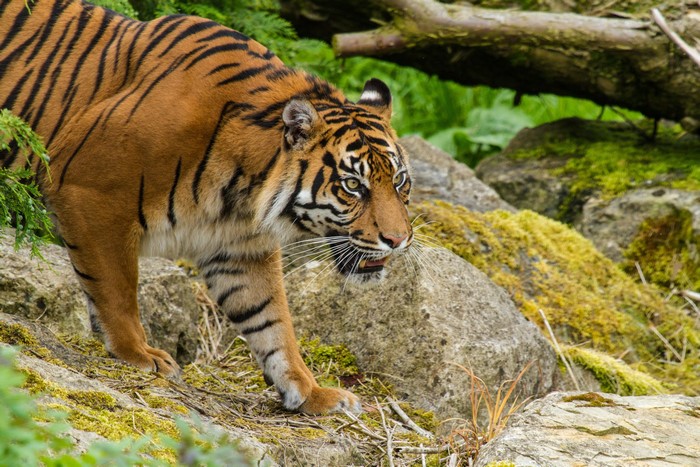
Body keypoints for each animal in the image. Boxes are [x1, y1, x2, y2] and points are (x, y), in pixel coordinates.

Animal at [0, 0, 413, 413]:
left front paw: (312, 392)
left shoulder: (241, 248)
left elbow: (272, 323)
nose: (398, 240)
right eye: (353, 185)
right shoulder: (91, 192)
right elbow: (117, 288)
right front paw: (138, 353)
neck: (243, 188)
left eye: (399, 181)